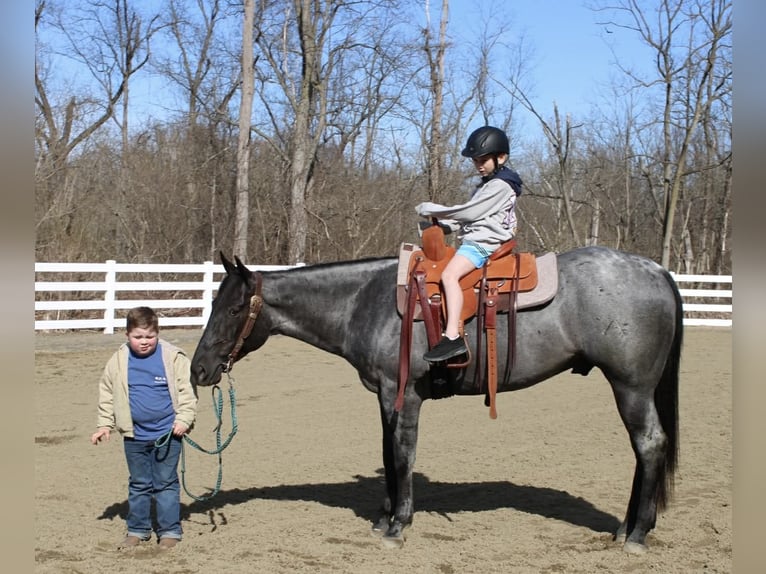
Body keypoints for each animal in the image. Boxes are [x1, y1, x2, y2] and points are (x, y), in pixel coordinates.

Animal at [190, 246, 682, 554]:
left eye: (233, 309)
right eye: (212, 305)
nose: (198, 370)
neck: (364, 301)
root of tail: (658, 271)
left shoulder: (403, 394)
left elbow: (403, 455)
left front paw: (398, 525)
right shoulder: (385, 397)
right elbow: (387, 454)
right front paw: (384, 516)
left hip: (631, 387)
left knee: (650, 445)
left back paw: (637, 534)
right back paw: (626, 528)